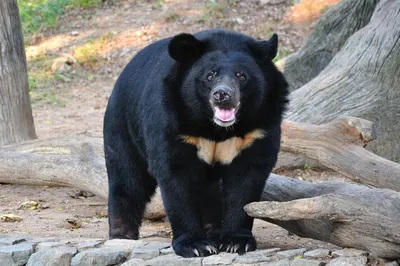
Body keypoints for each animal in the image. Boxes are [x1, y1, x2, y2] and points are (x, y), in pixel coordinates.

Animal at [104, 28, 288, 258]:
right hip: (123, 126)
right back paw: (122, 235)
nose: (222, 95)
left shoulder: (258, 129)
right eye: (210, 75)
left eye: (241, 75)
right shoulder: (171, 121)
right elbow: (174, 176)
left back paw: (213, 232)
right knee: (128, 179)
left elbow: (246, 181)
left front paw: (237, 242)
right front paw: (195, 245)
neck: (216, 128)